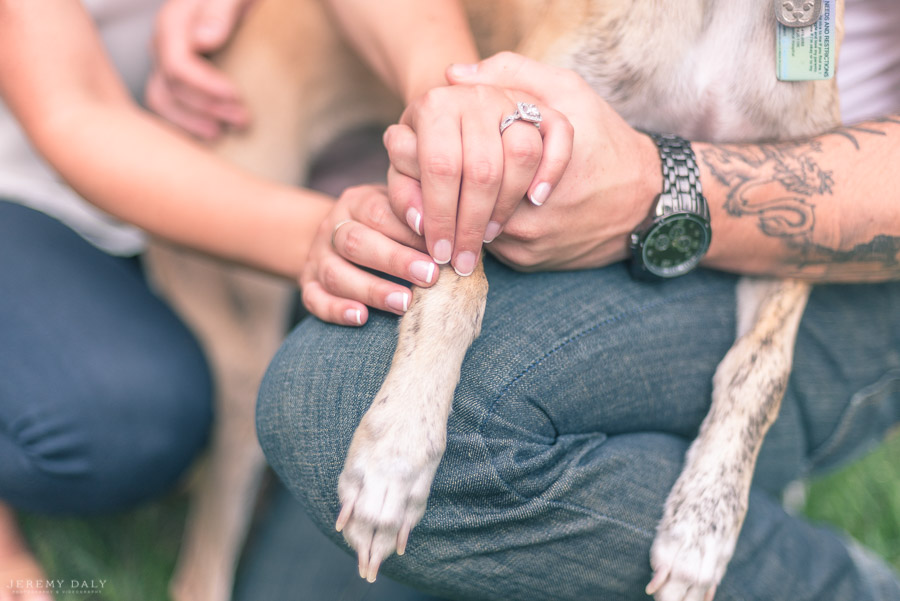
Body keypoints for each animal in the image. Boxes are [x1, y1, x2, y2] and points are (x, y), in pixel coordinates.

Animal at [148, 2, 844, 596]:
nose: (704, 520)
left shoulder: (792, 221)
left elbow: (762, 371)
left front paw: (703, 529)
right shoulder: (479, 147)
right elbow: (457, 283)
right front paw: (395, 458)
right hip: (242, 342)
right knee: (198, 570)